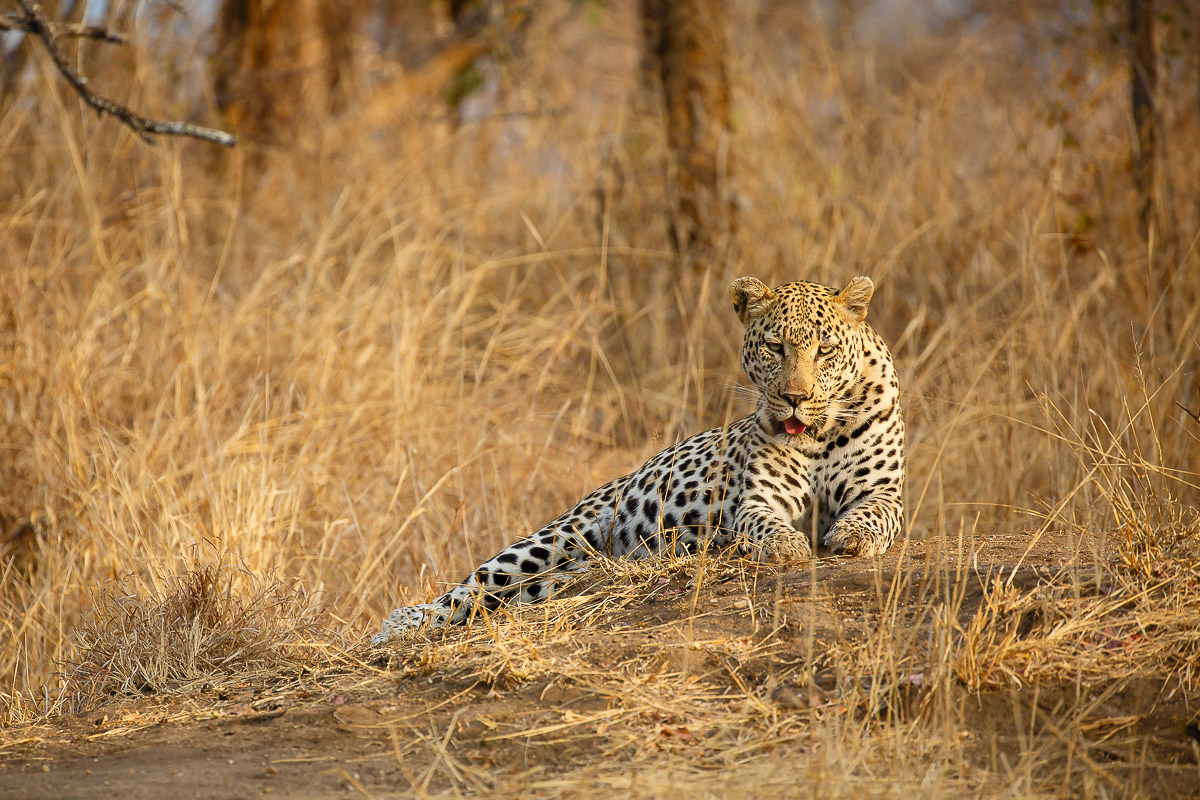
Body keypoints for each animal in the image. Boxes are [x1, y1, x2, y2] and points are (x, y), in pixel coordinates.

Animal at [372, 275, 905, 645]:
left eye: (826, 350)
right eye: (775, 347)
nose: (795, 398)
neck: (818, 434)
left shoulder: (885, 493)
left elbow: (872, 514)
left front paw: (852, 537)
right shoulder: (758, 500)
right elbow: (763, 523)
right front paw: (787, 546)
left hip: (556, 577)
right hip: (556, 537)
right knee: (468, 589)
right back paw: (398, 627)